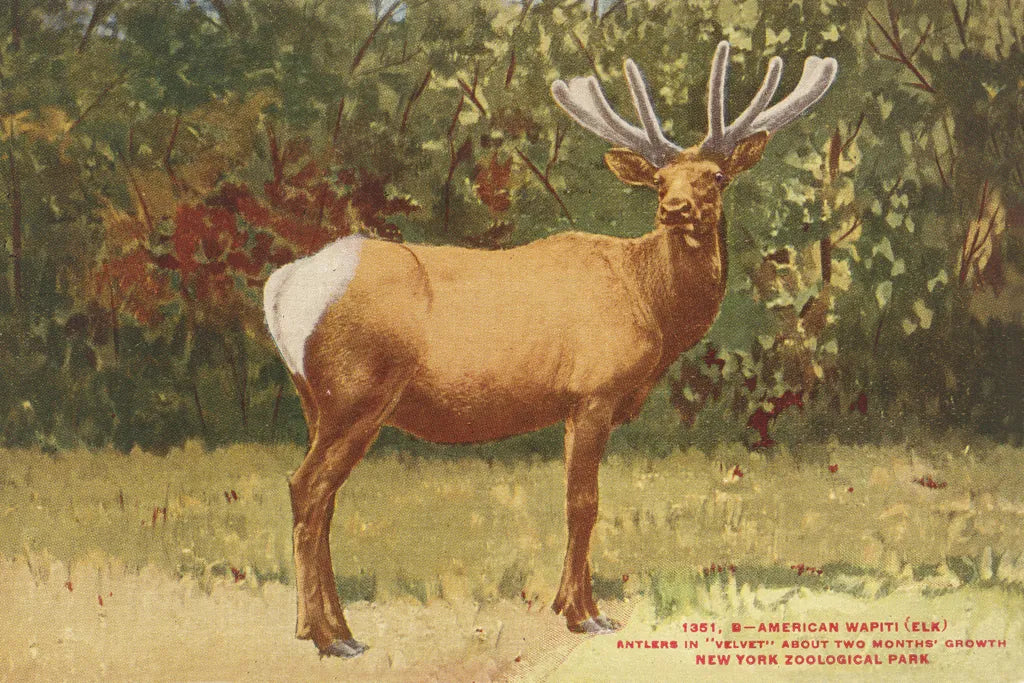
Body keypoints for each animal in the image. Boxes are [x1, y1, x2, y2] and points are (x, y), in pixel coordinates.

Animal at [262, 40, 837, 657]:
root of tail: (281, 288)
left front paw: (569, 604)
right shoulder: (595, 390)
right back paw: (328, 636)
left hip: (316, 400)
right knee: (306, 487)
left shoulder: (570, 404)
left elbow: (575, 501)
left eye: (718, 175)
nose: (675, 209)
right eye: (660, 180)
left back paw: (328, 627)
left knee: (323, 498)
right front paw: (587, 615)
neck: (650, 304)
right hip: (357, 391)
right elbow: (585, 503)